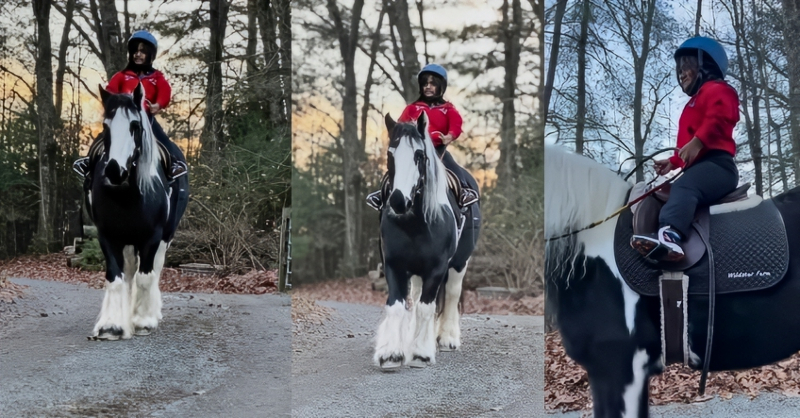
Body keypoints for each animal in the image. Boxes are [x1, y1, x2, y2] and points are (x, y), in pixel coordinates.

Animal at [88, 84, 189, 340]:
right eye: (105, 126)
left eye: (135, 125)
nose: (114, 171)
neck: (126, 195)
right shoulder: (108, 236)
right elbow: (116, 278)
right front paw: (111, 326)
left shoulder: (152, 237)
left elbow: (145, 277)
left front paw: (143, 321)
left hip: (164, 238)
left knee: (153, 271)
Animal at [376, 114, 482, 370]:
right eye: (390, 154)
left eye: (419, 155)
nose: (398, 201)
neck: (414, 224)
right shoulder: (394, 264)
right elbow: (397, 305)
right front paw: (391, 354)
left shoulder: (437, 267)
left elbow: (426, 307)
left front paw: (421, 354)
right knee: (415, 298)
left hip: (459, 263)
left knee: (451, 294)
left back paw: (447, 339)